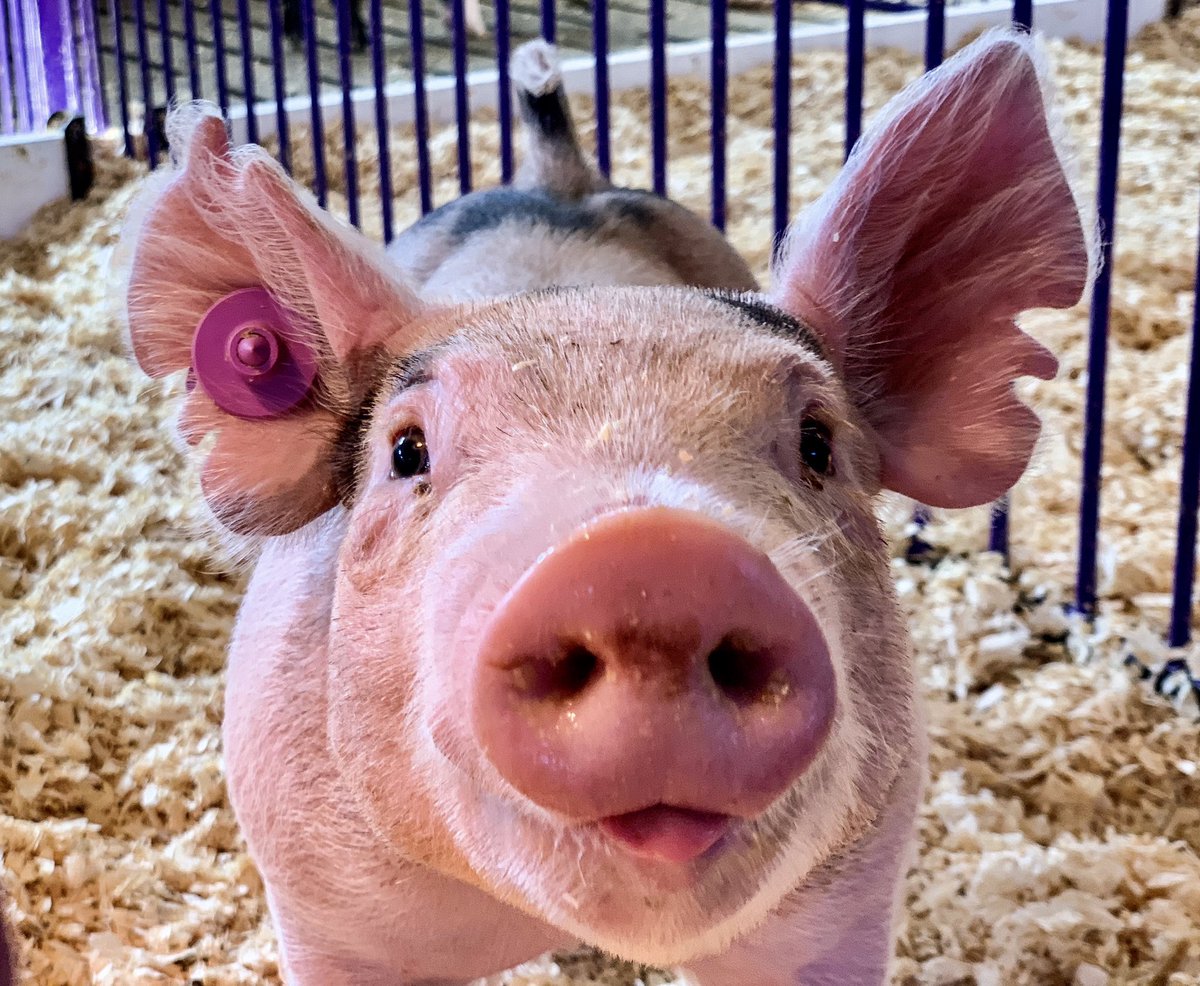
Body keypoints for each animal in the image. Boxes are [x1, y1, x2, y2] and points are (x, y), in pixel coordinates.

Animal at [117, 34, 1092, 986]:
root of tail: (563, 179)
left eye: (818, 443)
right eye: (407, 452)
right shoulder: (318, 897)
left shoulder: (848, 899)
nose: (653, 562)